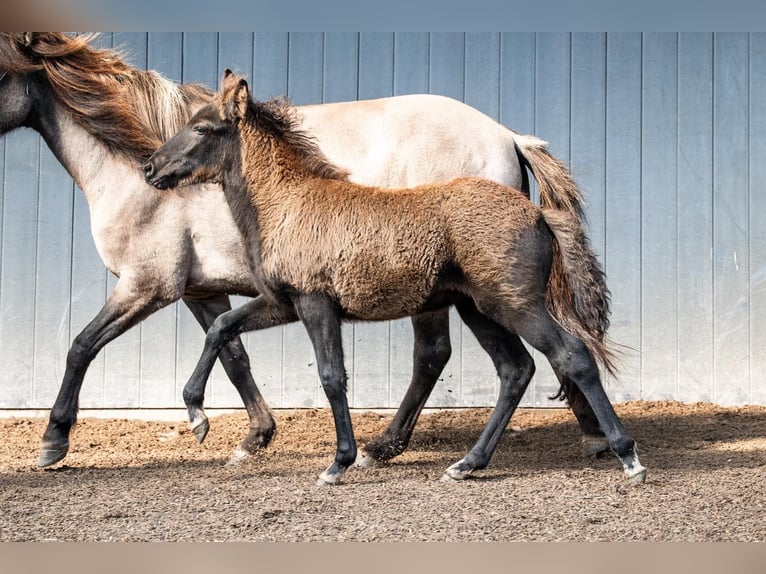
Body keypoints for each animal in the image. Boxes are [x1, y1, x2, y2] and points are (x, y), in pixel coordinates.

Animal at [0, 32, 608, 469]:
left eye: (1, 70)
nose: (154, 171)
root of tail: (508, 135)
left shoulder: (148, 285)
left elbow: (82, 345)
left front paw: (54, 441)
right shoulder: (204, 291)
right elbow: (232, 351)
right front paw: (248, 435)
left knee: (448, 354)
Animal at [143, 70, 646, 486]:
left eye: (203, 128)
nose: (151, 167)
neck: (288, 203)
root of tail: (540, 215)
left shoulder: (315, 302)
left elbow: (332, 376)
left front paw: (339, 462)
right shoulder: (282, 303)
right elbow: (221, 327)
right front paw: (196, 415)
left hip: (516, 303)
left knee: (571, 354)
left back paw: (627, 457)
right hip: (478, 308)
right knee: (515, 369)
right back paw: (467, 464)